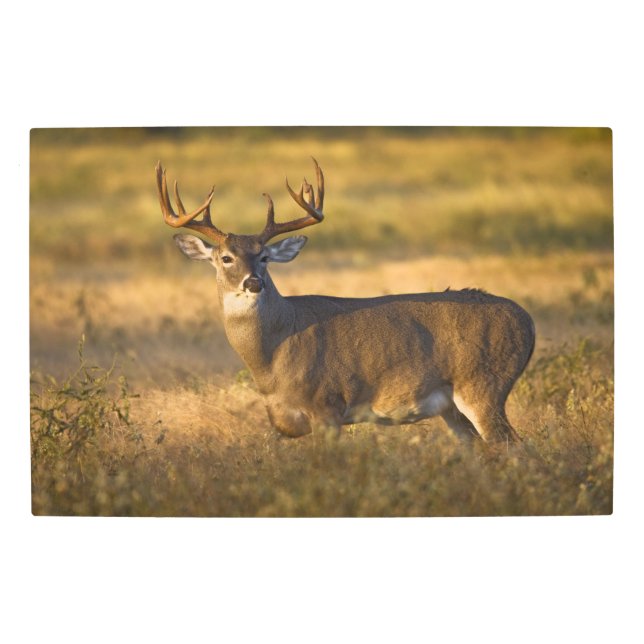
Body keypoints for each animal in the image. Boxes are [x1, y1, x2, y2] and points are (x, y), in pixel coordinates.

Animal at [155, 158, 535, 443]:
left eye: (264, 257)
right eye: (225, 258)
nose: (253, 282)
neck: (274, 355)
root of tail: (528, 321)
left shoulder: (326, 404)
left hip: (483, 384)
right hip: (452, 408)